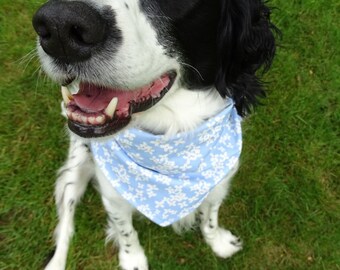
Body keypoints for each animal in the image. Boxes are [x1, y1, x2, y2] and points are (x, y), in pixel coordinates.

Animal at [31, 1, 278, 268]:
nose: (59, 26)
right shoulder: (112, 196)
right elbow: (125, 231)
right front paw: (133, 259)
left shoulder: (220, 180)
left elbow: (211, 215)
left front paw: (218, 242)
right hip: (74, 172)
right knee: (65, 224)